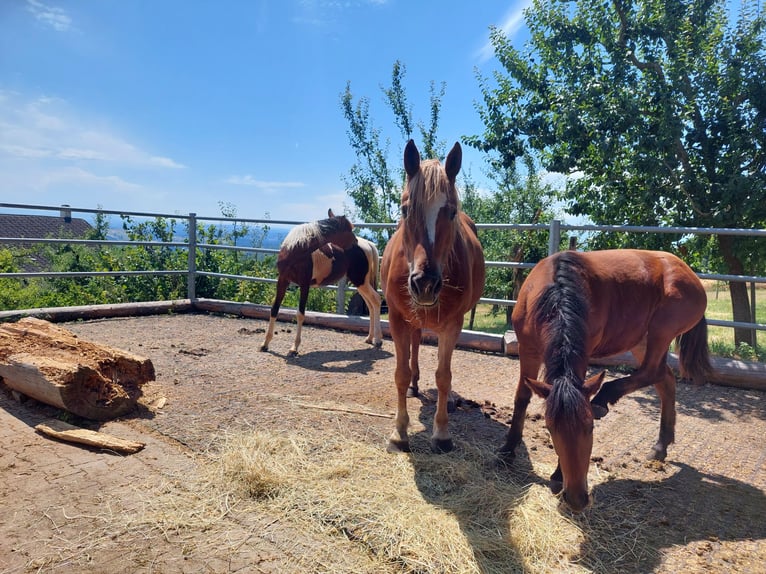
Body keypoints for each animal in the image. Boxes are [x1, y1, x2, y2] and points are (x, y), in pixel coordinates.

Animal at [260, 209, 383, 356]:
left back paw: (378, 340)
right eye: (348, 229)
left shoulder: (304, 285)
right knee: (371, 305)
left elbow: (300, 314)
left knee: (376, 300)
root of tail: (368, 244)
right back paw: (370, 338)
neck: (295, 250)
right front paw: (265, 344)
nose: (355, 242)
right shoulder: (282, 280)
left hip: (360, 281)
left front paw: (294, 348)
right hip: (360, 283)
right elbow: (274, 309)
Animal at [381, 140, 485, 454]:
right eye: (405, 210)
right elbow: (400, 373)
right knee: (415, 346)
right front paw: (399, 433)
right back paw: (414, 384)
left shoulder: (453, 324)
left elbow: (443, 375)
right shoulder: (397, 318)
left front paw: (441, 434)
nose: (424, 283)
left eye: (450, 212)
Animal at [499, 249, 711, 512]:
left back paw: (604, 398)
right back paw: (661, 446)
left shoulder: (582, 355)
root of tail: (686, 270)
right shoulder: (528, 351)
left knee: (652, 372)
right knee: (665, 380)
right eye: (550, 428)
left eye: (590, 428)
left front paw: (557, 475)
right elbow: (522, 398)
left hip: (660, 332)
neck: (554, 293)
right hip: (641, 340)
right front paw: (508, 450)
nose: (577, 497)